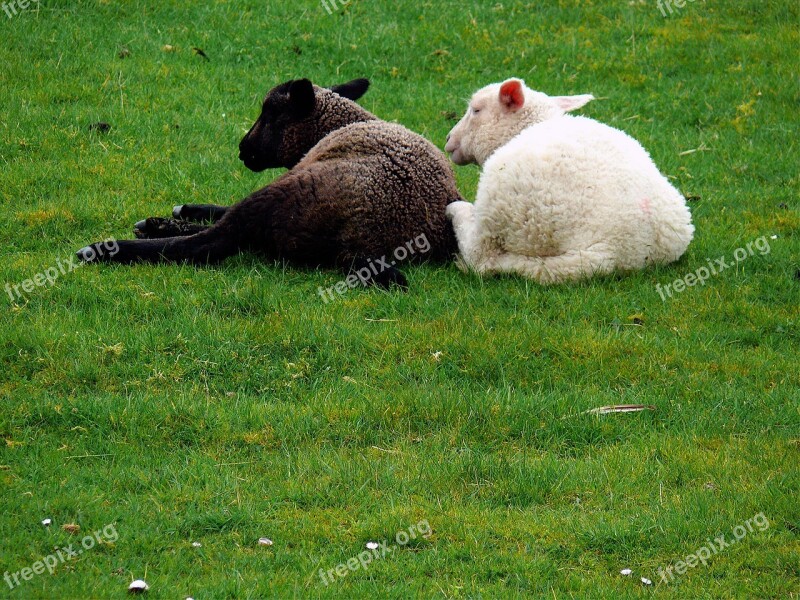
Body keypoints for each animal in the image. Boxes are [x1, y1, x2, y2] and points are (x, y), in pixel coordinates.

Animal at [444, 78, 692, 284]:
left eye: (476, 110)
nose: (448, 139)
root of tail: (609, 249)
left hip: (504, 210)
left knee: (479, 256)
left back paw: (457, 210)